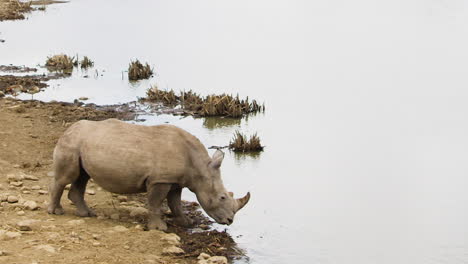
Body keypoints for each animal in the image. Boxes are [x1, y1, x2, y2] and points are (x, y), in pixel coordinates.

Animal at [48, 118, 250, 230]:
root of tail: (68, 128)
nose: (230, 221)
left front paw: (186, 223)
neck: (200, 167)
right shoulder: (160, 180)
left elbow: (175, 203)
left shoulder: (174, 181)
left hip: (81, 144)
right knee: (67, 177)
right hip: (71, 142)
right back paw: (56, 212)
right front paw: (159, 228)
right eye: (222, 197)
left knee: (82, 177)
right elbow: (155, 203)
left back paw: (87, 214)